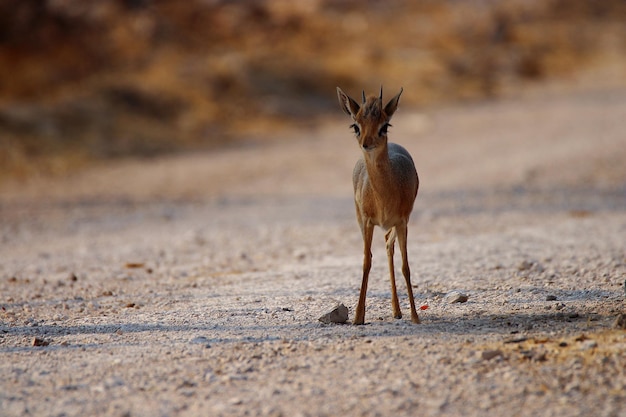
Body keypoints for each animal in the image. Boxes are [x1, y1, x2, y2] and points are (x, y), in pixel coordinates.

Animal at [336, 85, 420, 324]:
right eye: (355, 125)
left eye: (385, 125)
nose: (367, 143)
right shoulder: (367, 222)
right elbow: (366, 262)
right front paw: (357, 317)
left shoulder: (402, 222)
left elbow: (406, 267)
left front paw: (415, 316)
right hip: (362, 221)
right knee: (383, 246)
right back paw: (395, 310)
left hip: (396, 225)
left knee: (389, 245)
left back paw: (398, 310)